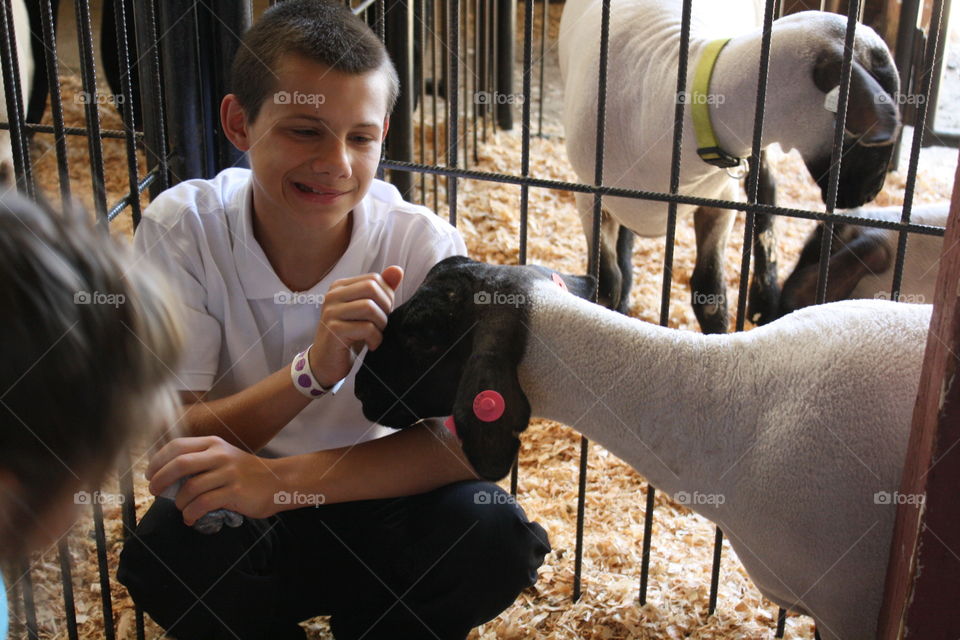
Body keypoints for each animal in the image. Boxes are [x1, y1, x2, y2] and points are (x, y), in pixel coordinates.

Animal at [560, 1, 904, 336]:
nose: (870, 194)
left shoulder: (720, 203)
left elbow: (709, 293)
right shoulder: (590, 198)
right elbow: (606, 285)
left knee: (765, 196)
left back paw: (764, 301)